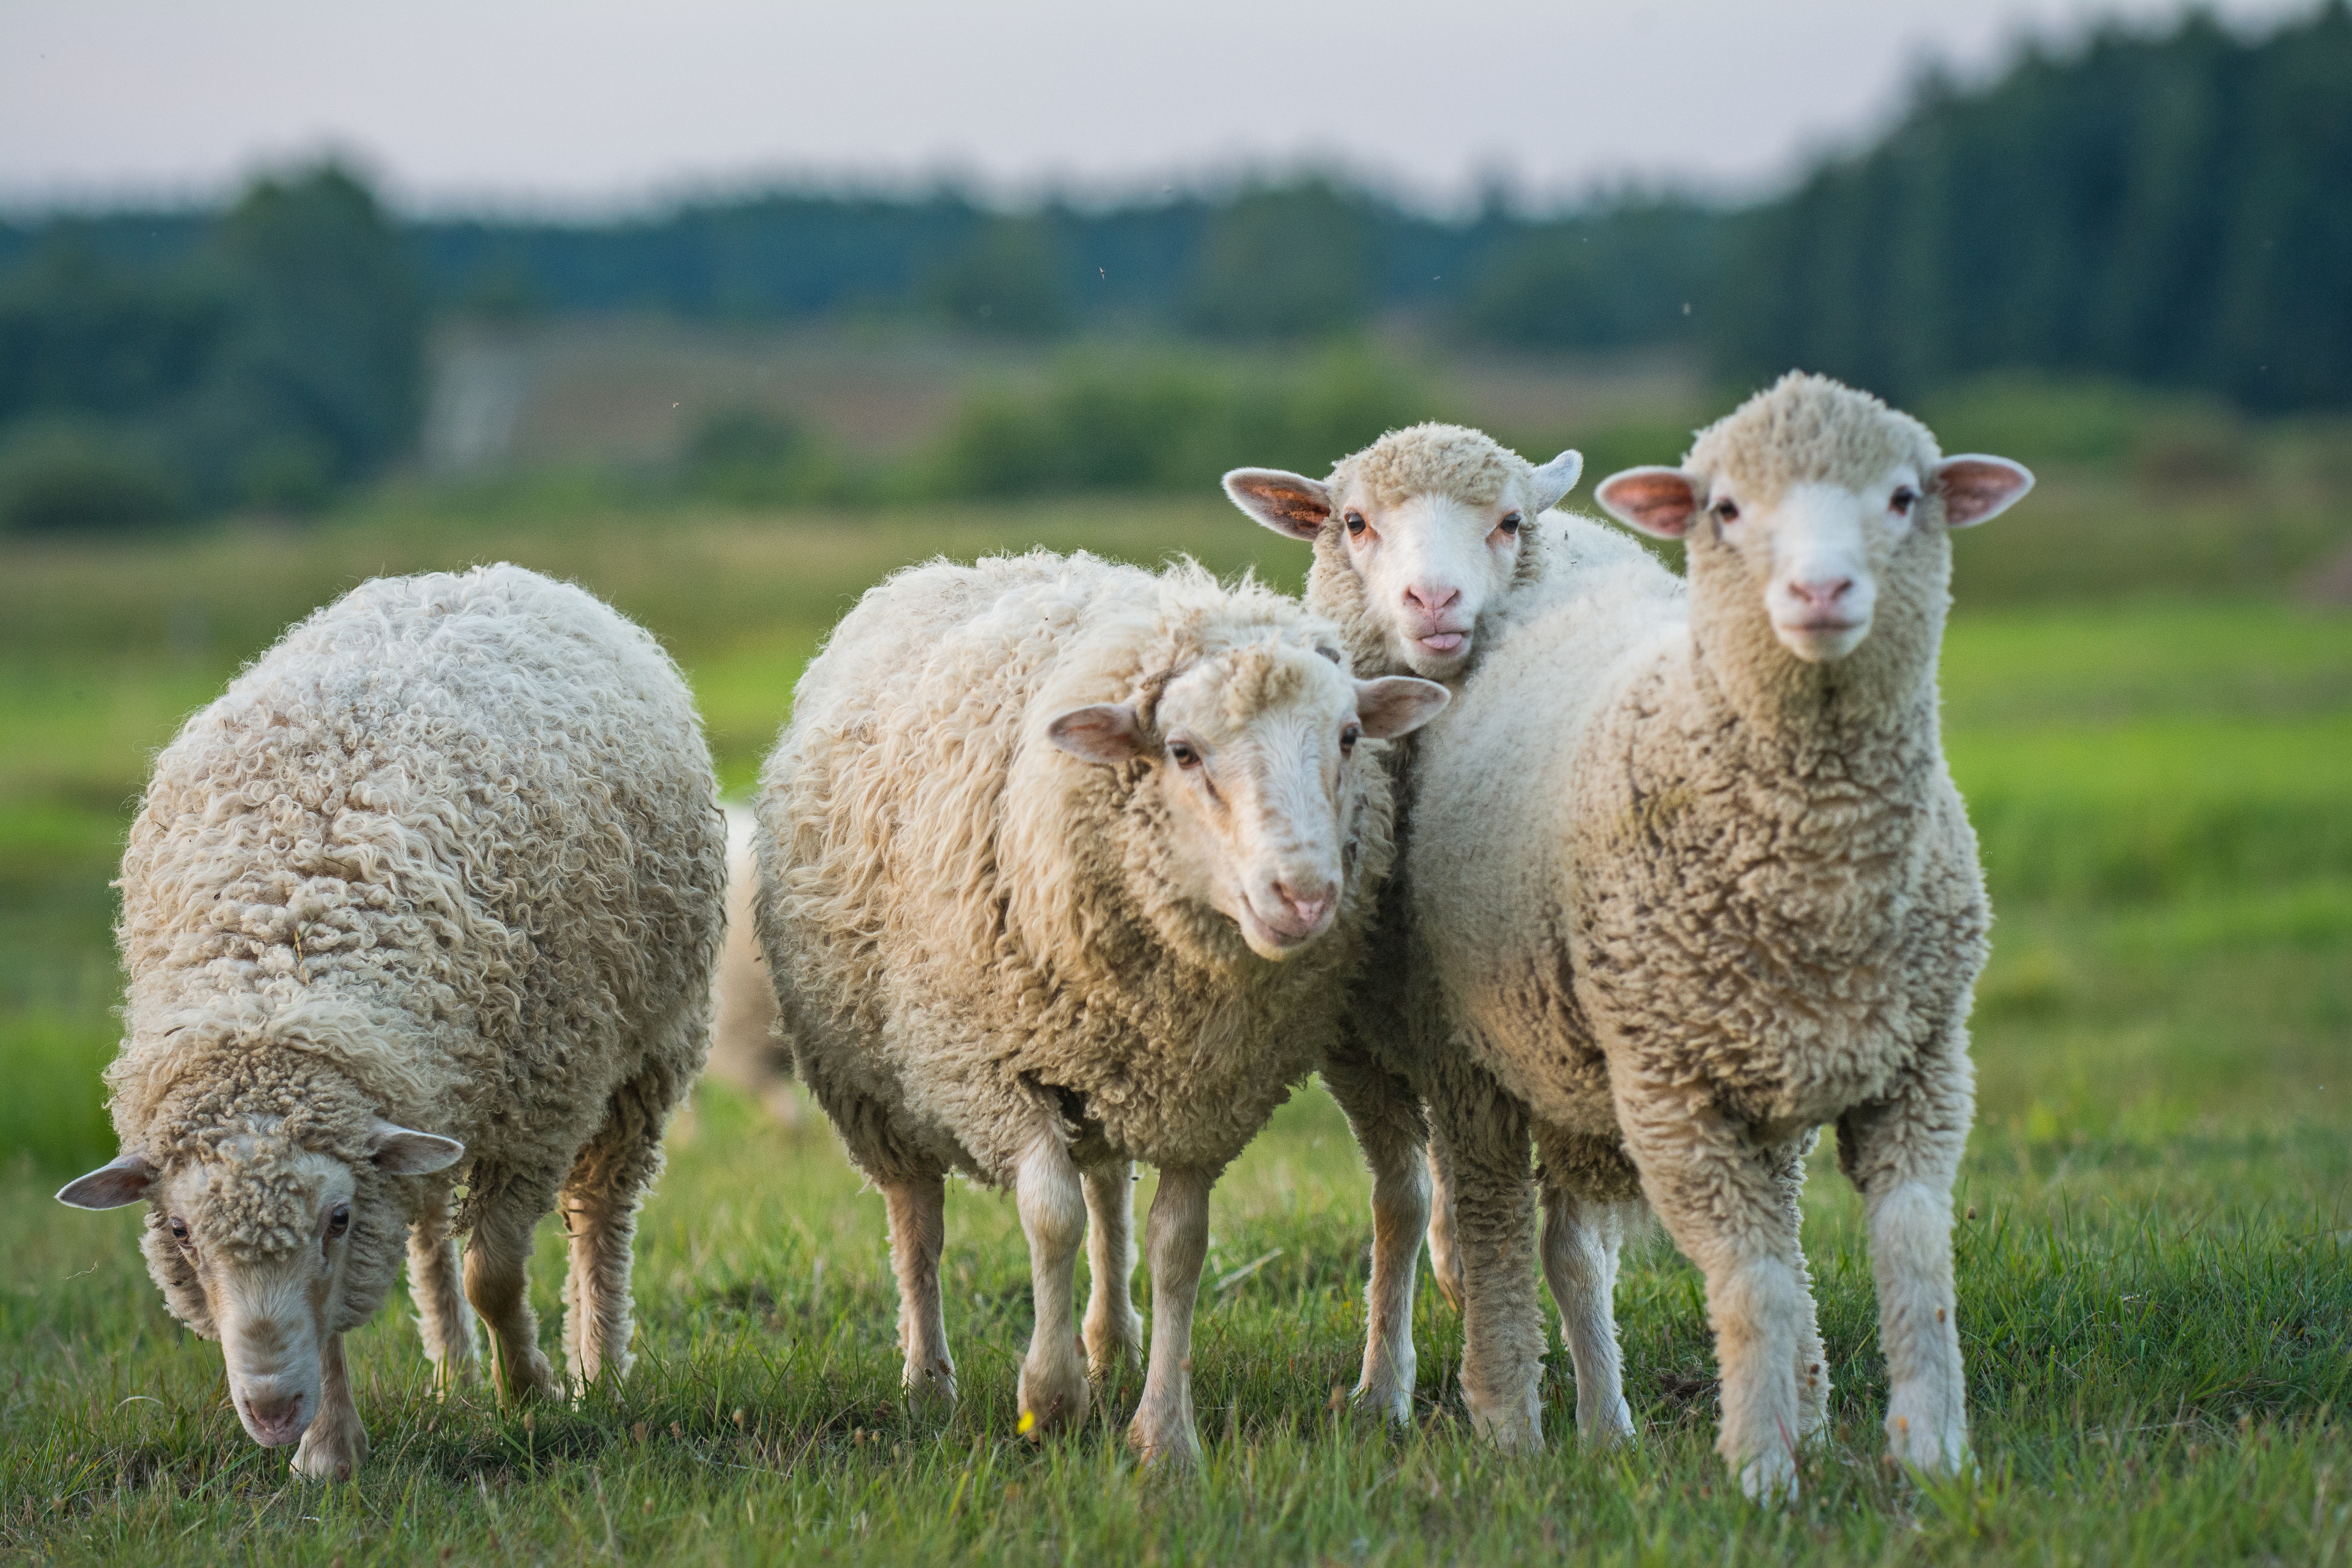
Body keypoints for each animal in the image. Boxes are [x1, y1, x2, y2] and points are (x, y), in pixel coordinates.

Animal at [57, 564, 734, 1486]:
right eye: (180, 1230)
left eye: (337, 1220)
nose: (272, 1411)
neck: (280, 973)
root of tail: (475, 575)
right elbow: (341, 1316)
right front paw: (329, 1451)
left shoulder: (539, 1104)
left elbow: (496, 1273)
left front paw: (533, 1392)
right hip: (430, 1091)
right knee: (425, 1232)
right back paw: (452, 1374)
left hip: (642, 1054)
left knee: (599, 1213)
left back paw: (598, 1367)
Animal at [753, 550, 1449, 1457]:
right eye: (1183, 751)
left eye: (1348, 737)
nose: (1303, 896)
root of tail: (967, 565)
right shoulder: (990, 1067)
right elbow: (1049, 1217)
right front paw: (1051, 1399)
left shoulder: (1201, 1094)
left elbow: (1178, 1247)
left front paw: (1163, 1435)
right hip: (872, 1080)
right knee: (919, 1224)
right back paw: (929, 1381)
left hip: (1102, 1060)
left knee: (1109, 1185)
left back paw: (1114, 1342)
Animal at [1223, 425, 1590, 1420]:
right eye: (1353, 522)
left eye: (1510, 521)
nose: (1435, 600)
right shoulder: (1355, 1047)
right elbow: (1402, 1202)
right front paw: (1381, 1387)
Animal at [1392, 371, 2042, 1495]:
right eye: (1727, 509)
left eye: (1906, 496)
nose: (1822, 591)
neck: (1818, 876)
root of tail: (1569, 538)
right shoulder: (1672, 1094)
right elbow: (1751, 1282)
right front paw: (1761, 1471)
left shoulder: (1923, 1065)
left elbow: (1915, 1258)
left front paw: (1931, 1454)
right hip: (1474, 1052)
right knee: (1495, 1223)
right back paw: (1510, 1420)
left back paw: (1809, 1404)